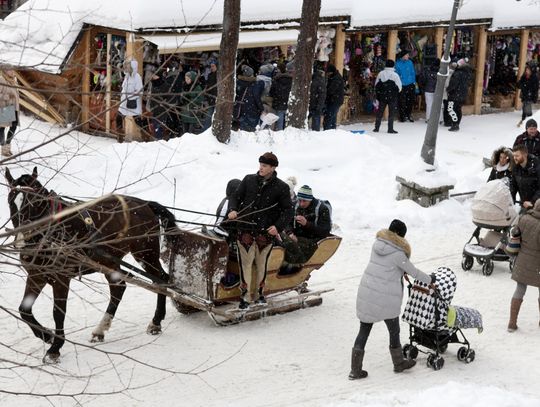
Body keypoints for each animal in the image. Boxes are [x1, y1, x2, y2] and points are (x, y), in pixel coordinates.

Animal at [5, 167, 178, 364]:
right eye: (11, 201)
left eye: (35, 202)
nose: (22, 239)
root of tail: (144, 204)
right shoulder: (36, 275)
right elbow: (24, 310)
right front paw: (47, 336)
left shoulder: (61, 278)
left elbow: (58, 313)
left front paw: (54, 348)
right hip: (109, 260)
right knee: (119, 287)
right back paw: (100, 330)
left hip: (145, 253)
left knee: (160, 279)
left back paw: (156, 321)